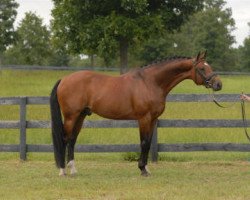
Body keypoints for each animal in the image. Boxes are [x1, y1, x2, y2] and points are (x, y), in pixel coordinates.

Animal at [49, 50, 222, 176]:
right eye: (202, 68)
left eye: (209, 66)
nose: (218, 84)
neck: (150, 82)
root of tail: (64, 79)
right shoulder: (144, 118)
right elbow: (144, 142)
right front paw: (142, 169)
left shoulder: (153, 119)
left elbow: (148, 142)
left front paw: (146, 168)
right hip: (71, 116)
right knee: (65, 139)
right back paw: (62, 171)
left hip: (81, 116)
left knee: (72, 140)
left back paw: (73, 169)